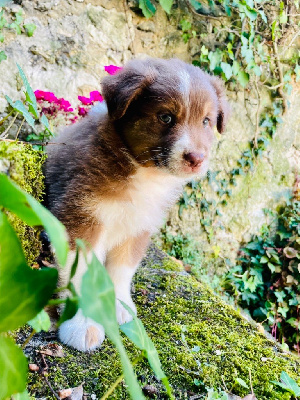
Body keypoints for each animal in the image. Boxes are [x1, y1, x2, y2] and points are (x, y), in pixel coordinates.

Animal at [44, 57, 229, 352]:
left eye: (206, 121)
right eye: (166, 117)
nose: (196, 159)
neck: (143, 174)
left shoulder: (138, 226)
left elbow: (122, 270)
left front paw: (120, 307)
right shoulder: (81, 216)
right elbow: (82, 274)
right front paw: (83, 324)